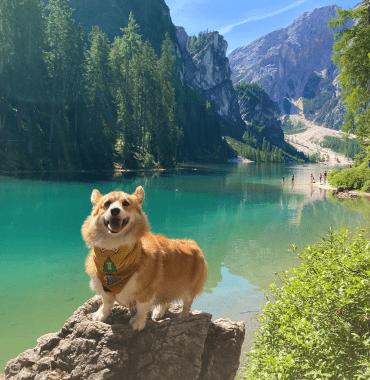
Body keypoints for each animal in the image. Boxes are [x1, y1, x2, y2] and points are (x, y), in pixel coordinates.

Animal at [81, 187, 208, 330]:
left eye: (126, 203)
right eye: (107, 204)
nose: (114, 210)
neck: (114, 249)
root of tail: (192, 243)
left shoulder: (145, 290)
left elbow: (142, 307)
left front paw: (138, 322)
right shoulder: (104, 287)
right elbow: (107, 302)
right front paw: (101, 315)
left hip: (188, 288)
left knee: (186, 304)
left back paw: (183, 317)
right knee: (166, 300)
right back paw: (159, 312)